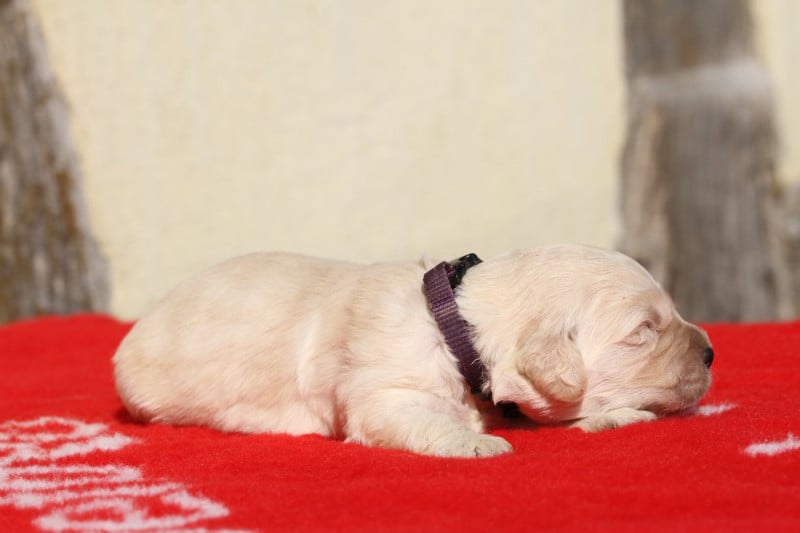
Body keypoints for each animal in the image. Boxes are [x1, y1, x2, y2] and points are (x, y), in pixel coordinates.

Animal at [113, 244, 713, 457]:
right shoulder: (381, 397)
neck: (457, 326)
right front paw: (475, 445)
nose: (711, 352)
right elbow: (418, 420)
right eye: (643, 330)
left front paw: (620, 415)